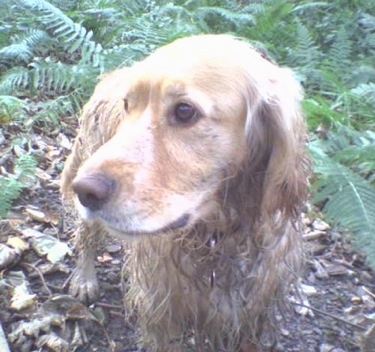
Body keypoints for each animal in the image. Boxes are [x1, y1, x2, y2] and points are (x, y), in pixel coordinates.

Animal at [61, 33, 310, 352]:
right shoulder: (161, 310)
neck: (218, 238)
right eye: (128, 105)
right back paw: (85, 279)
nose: (85, 189)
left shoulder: (253, 317)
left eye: (184, 111)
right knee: (87, 236)